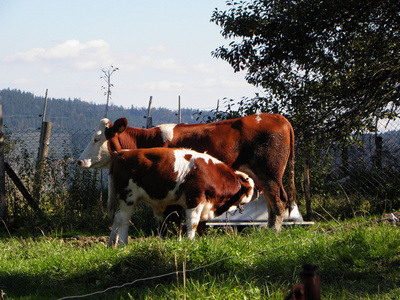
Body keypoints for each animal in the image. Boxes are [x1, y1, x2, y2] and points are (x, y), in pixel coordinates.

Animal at [78, 113, 296, 231]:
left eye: (96, 139)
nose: (80, 160)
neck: (147, 141)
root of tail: (278, 117)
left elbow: (170, 217)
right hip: (264, 176)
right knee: (273, 202)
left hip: (270, 172)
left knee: (278, 201)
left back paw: (272, 232)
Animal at [108, 146, 255, 245]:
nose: (256, 194)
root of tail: (122, 153)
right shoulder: (195, 199)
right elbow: (193, 223)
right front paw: (190, 242)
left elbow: (187, 224)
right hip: (127, 198)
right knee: (123, 221)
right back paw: (123, 244)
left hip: (120, 201)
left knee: (116, 219)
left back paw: (111, 244)